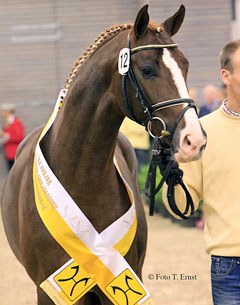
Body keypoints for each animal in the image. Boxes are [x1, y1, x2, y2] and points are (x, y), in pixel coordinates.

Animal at [0, 5, 205, 304]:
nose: (194, 139)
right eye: (147, 69)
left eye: (185, 65)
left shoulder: (121, 280)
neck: (81, 178)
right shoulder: (50, 290)